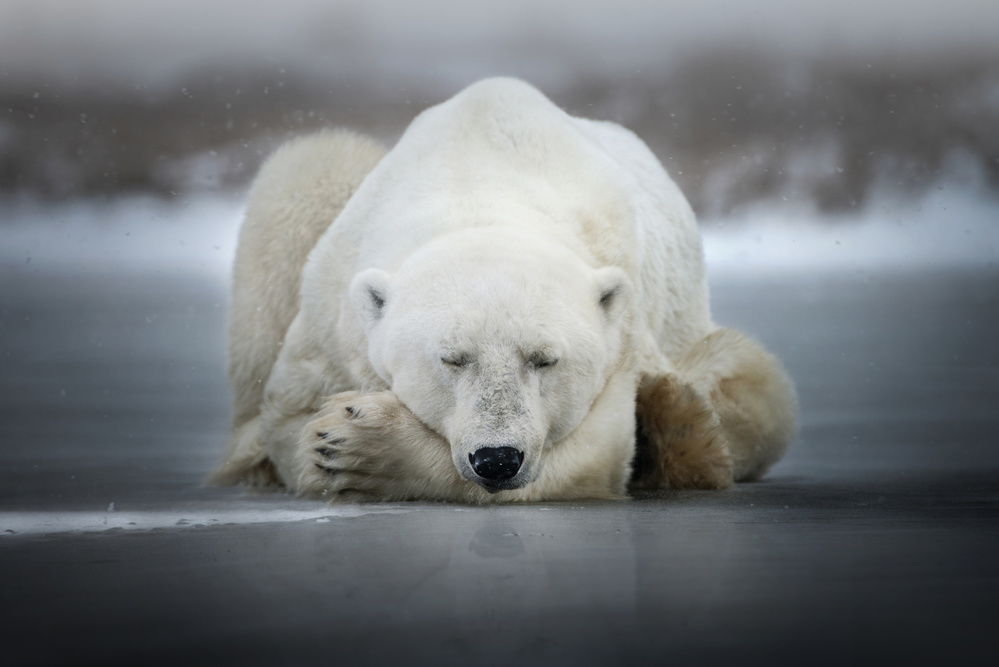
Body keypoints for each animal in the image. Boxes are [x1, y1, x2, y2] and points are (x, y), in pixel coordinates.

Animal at [211, 77, 796, 500]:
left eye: (545, 359)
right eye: (451, 359)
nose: (496, 459)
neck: (479, 183)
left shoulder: (622, 333)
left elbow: (598, 451)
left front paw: (359, 444)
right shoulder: (333, 323)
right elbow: (289, 421)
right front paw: (332, 439)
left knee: (750, 384)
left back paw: (678, 426)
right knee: (311, 163)